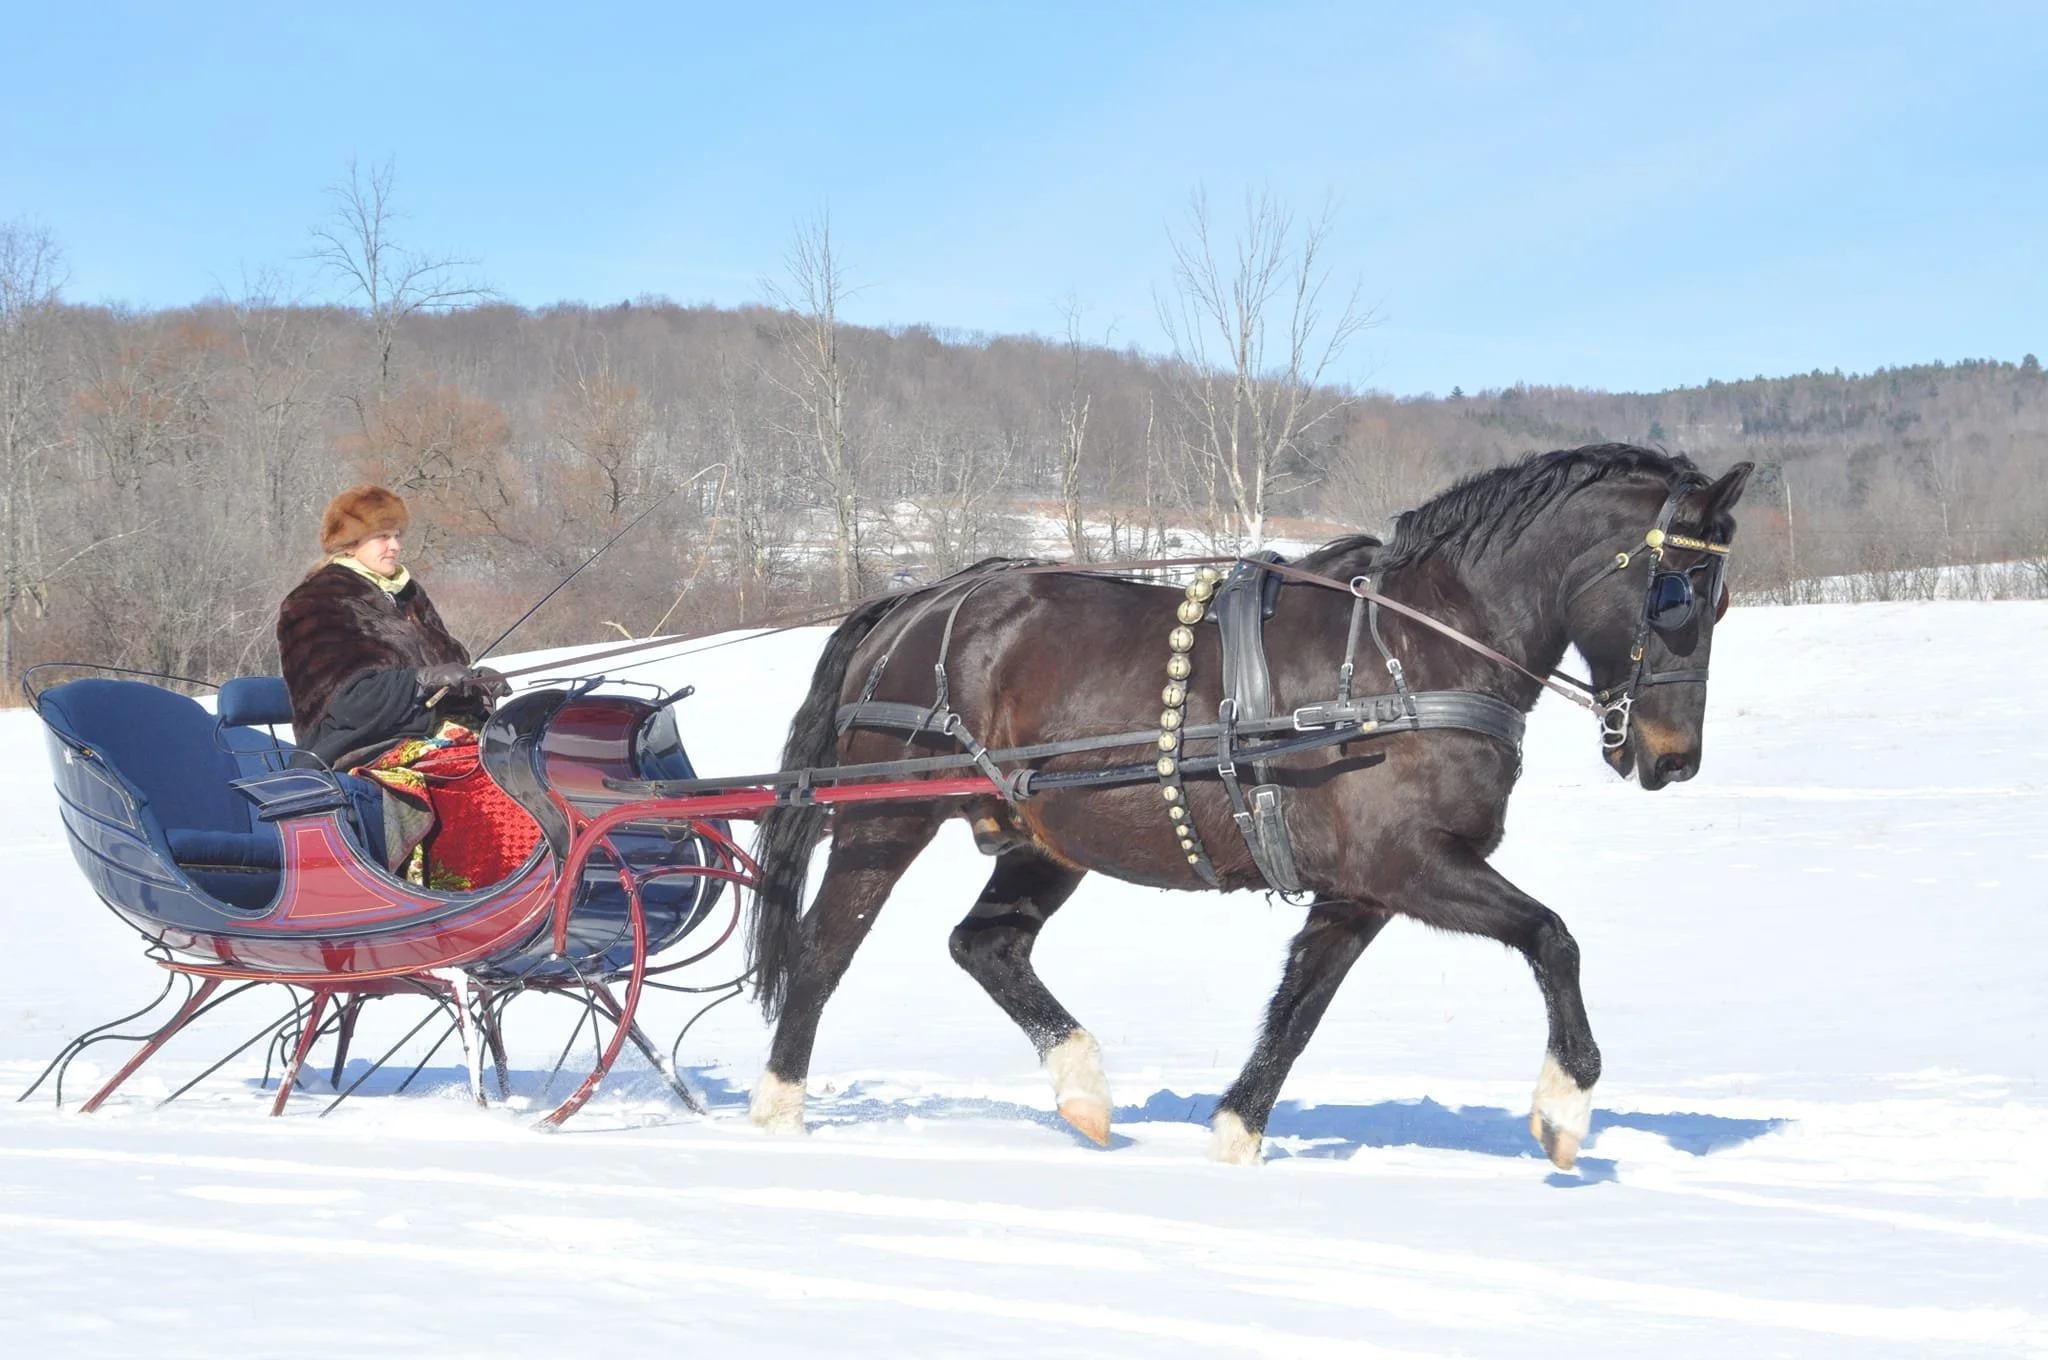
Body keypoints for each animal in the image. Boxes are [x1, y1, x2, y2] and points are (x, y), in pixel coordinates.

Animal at [744, 443, 1754, 1168]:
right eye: (1675, 596)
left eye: (1719, 602)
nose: (1673, 759)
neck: (1416, 652)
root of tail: (919, 600)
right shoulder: (1407, 863)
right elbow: (1553, 938)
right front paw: (1564, 1109)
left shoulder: (1358, 890)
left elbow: (1299, 1008)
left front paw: (1236, 1135)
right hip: (885, 820)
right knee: (823, 950)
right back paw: (780, 1114)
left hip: (1048, 837)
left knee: (984, 945)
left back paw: (1084, 1092)